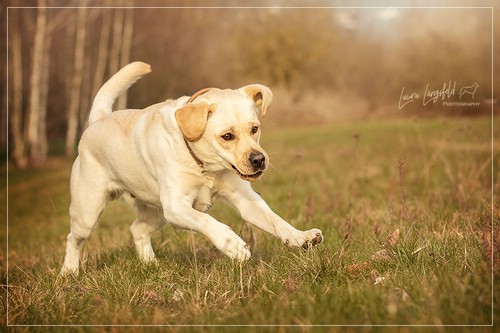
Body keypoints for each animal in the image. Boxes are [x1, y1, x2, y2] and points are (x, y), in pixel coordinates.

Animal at [60, 61, 324, 274]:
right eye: (227, 136)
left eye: (255, 128)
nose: (259, 160)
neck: (205, 167)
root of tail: (98, 119)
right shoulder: (177, 206)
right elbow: (207, 221)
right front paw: (234, 246)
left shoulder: (246, 199)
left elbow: (276, 220)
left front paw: (301, 237)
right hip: (89, 212)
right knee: (73, 238)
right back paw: (69, 271)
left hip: (157, 213)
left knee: (137, 230)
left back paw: (150, 264)